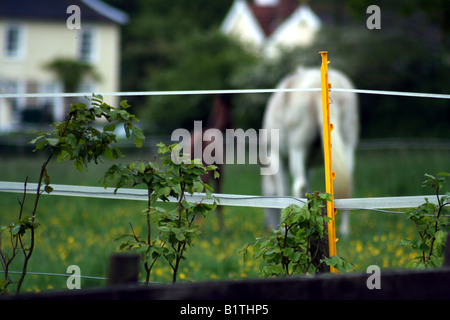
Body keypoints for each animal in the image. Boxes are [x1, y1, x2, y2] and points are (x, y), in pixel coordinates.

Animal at [260, 67, 358, 235]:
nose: (269, 225)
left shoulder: (278, 158)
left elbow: (284, 191)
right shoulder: (309, 166)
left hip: (297, 149)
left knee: (299, 185)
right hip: (348, 145)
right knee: (347, 181)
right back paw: (344, 230)